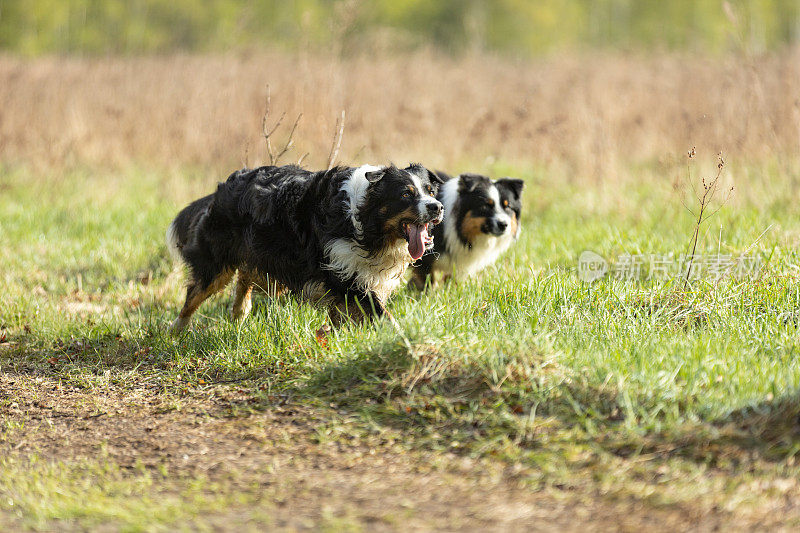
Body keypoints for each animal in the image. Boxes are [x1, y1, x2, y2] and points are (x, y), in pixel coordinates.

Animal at [167, 162, 444, 330]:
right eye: (406, 194)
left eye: (430, 191)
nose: (437, 207)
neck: (363, 222)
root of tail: (225, 185)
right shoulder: (343, 274)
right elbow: (381, 313)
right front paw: (401, 336)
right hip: (218, 260)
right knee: (196, 291)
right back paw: (177, 330)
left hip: (268, 258)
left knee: (246, 274)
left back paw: (240, 313)